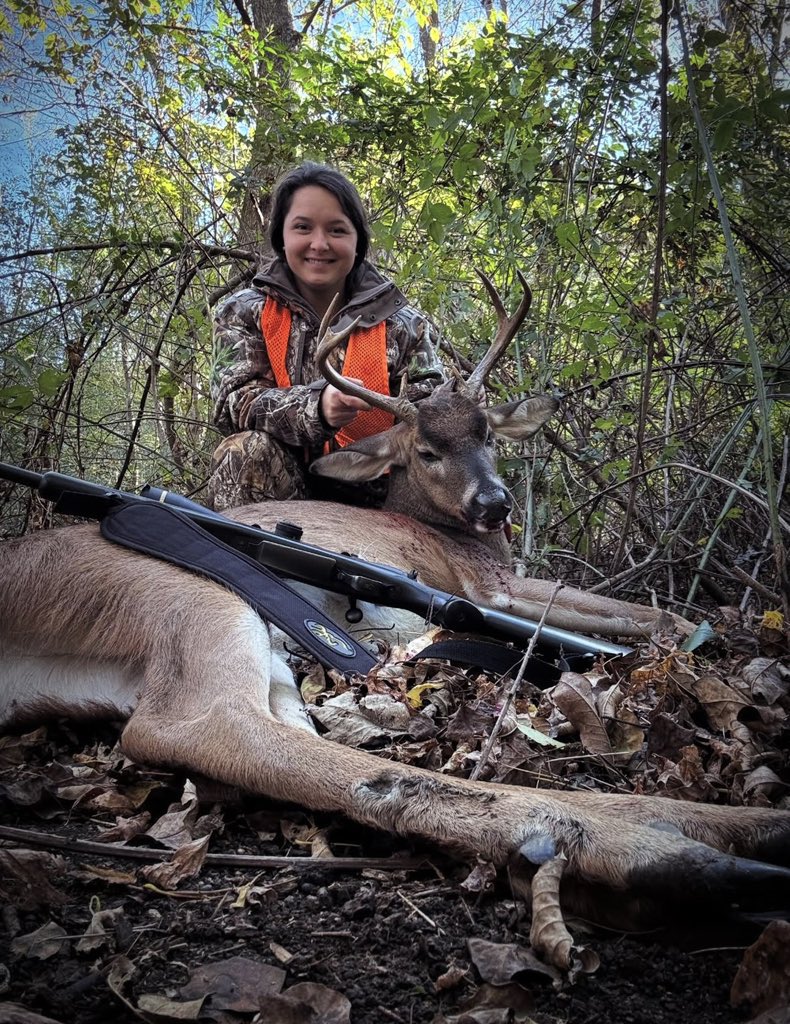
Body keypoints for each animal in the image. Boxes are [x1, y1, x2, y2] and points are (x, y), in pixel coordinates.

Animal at [1, 272, 788, 927]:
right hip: (189, 593)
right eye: (427, 451)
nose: (495, 505)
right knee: (207, 727)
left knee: (289, 736)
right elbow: (653, 617)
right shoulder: (491, 586)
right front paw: (697, 645)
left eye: (490, 437)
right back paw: (670, 850)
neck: (445, 531)